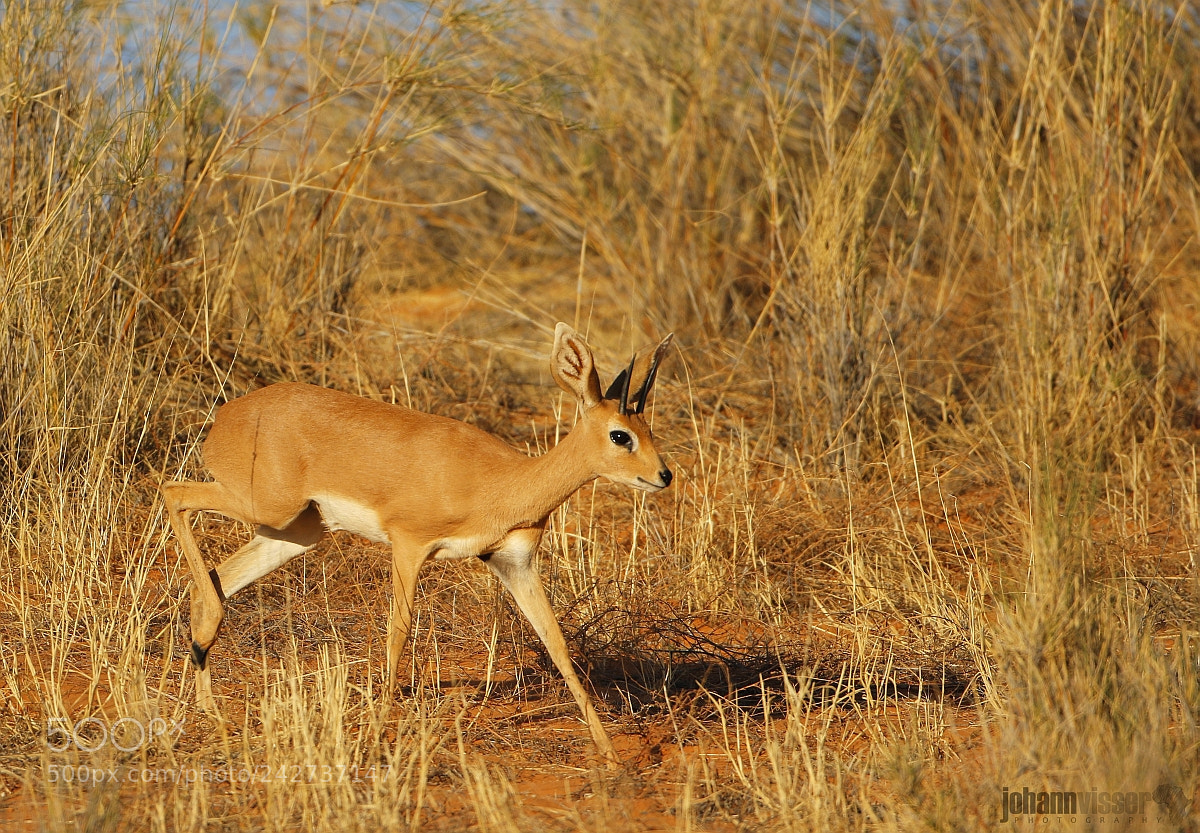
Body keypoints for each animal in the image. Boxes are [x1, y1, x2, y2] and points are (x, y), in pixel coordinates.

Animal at [161, 323, 673, 767]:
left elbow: (557, 644)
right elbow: (399, 631)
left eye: (648, 430)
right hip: (268, 508)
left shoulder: (514, 563)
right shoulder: (408, 545)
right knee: (174, 493)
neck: (502, 483)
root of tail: (228, 415)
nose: (664, 475)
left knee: (217, 577)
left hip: (296, 531)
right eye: (620, 435)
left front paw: (611, 755)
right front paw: (376, 735)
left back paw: (210, 701)